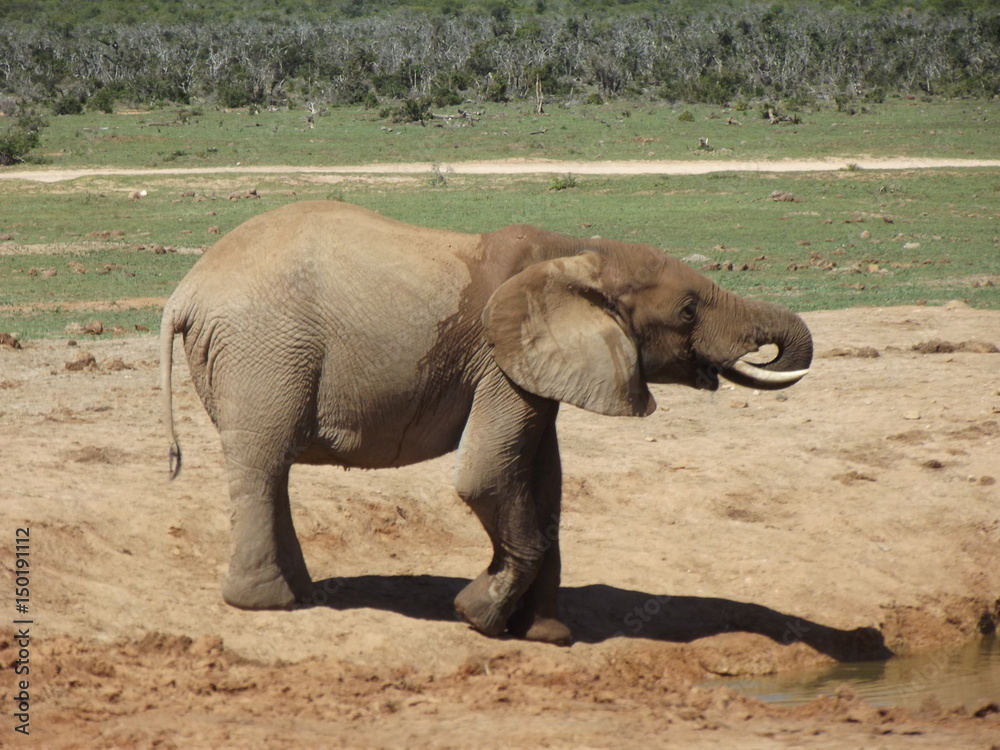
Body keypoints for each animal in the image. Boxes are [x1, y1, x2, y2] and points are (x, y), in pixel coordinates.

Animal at [160, 200, 812, 646]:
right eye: (687, 311)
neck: (578, 251)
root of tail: (185, 292)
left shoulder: (533, 367)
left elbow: (543, 484)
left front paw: (546, 636)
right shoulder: (500, 360)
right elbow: (486, 477)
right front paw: (477, 617)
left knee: (271, 469)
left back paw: (300, 594)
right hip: (263, 351)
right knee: (263, 461)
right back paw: (267, 604)